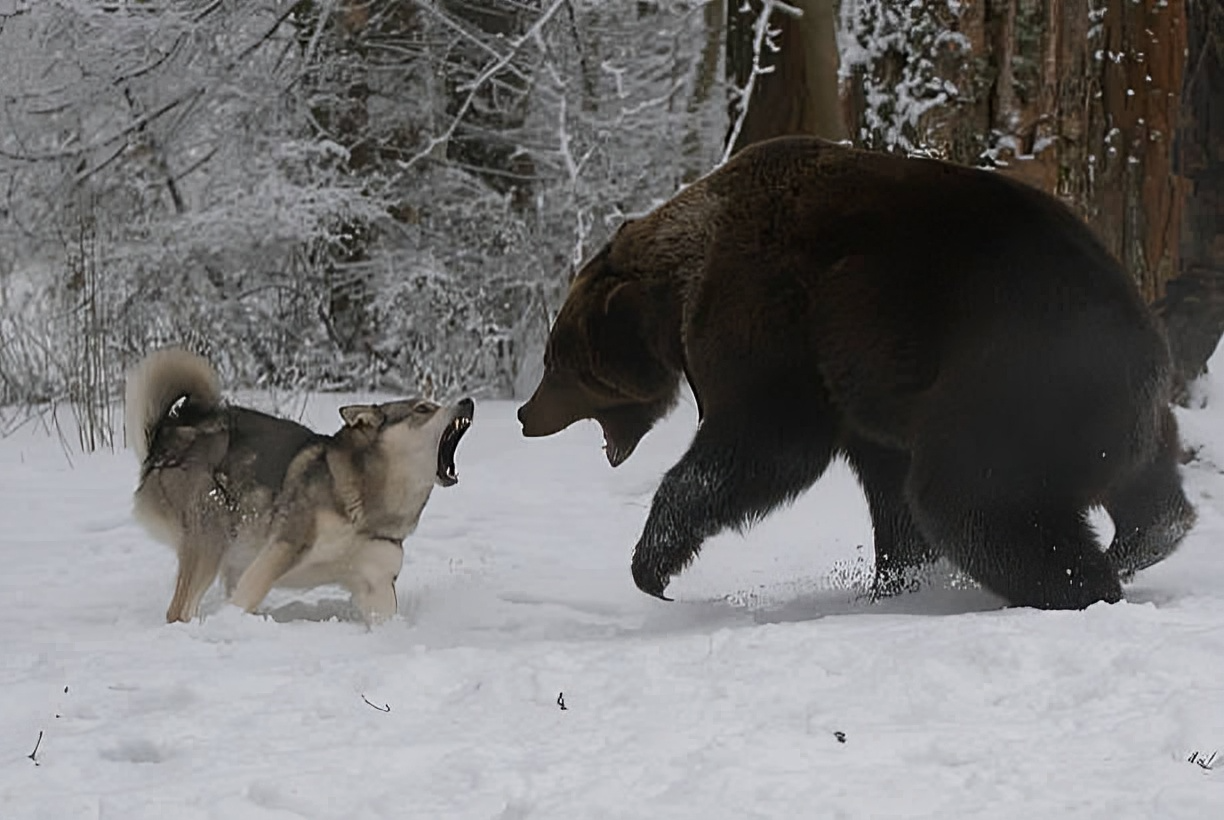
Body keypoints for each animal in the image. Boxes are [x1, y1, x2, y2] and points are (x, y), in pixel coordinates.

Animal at [121, 350, 470, 626]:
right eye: (423, 409)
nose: (468, 402)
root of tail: (168, 436)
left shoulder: (377, 582)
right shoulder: (284, 548)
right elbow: (246, 596)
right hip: (212, 532)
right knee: (178, 611)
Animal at [514, 136, 1194, 609]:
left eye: (554, 361)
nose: (525, 414)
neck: (676, 291)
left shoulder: (773, 319)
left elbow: (764, 442)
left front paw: (652, 563)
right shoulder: (869, 390)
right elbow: (886, 492)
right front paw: (899, 579)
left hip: (1010, 380)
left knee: (973, 497)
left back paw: (1080, 586)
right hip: (1118, 407)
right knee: (1147, 488)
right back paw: (1144, 539)